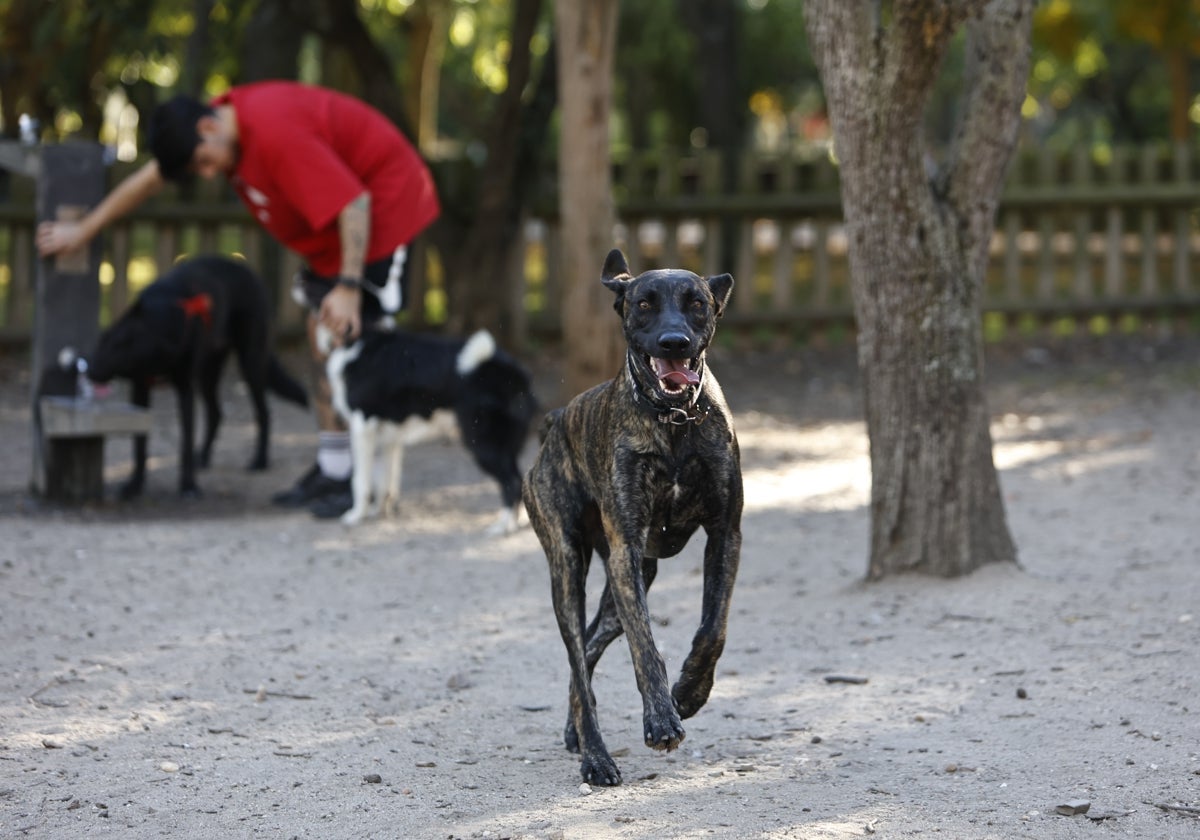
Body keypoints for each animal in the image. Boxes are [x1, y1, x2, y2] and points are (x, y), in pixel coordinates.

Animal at [91, 253, 307, 494]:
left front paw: (188, 486)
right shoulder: (140, 389)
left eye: (121, 345)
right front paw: (134, 485)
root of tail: (250, 273)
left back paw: (260, 460)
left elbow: (185, 442)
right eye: (102, 342)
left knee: (263, 414)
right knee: (216, 414)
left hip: (250, 364)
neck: (162, 318)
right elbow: (140, 443)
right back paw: (202, 458)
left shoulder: (185, 388)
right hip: (208, 375)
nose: (89, 369)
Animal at [324, 324, 540, 528]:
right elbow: (386, 480)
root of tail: (511, 370)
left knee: (511, 482)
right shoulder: (388, 435)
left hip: (482, 443)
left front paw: (356, 515)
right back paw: (515, 522)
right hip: (506, 446)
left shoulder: (362, 425)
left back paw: (502, 527)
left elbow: (360, 480)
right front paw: (378, 511)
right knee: (519, 480)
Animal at [525, 249, 739, 787]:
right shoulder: (626, 547)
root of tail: (557, 421)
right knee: (578, 655)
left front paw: (690, 691)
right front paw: (662, 717)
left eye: (697, 303)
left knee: (589, 650)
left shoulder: (725, 535)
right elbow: (645, 647)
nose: (674, 341)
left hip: (632, 578)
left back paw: (578, 732)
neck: (674, 420)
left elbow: (713, 627)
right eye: (644, 303)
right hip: (570, 568)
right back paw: (596, 757)